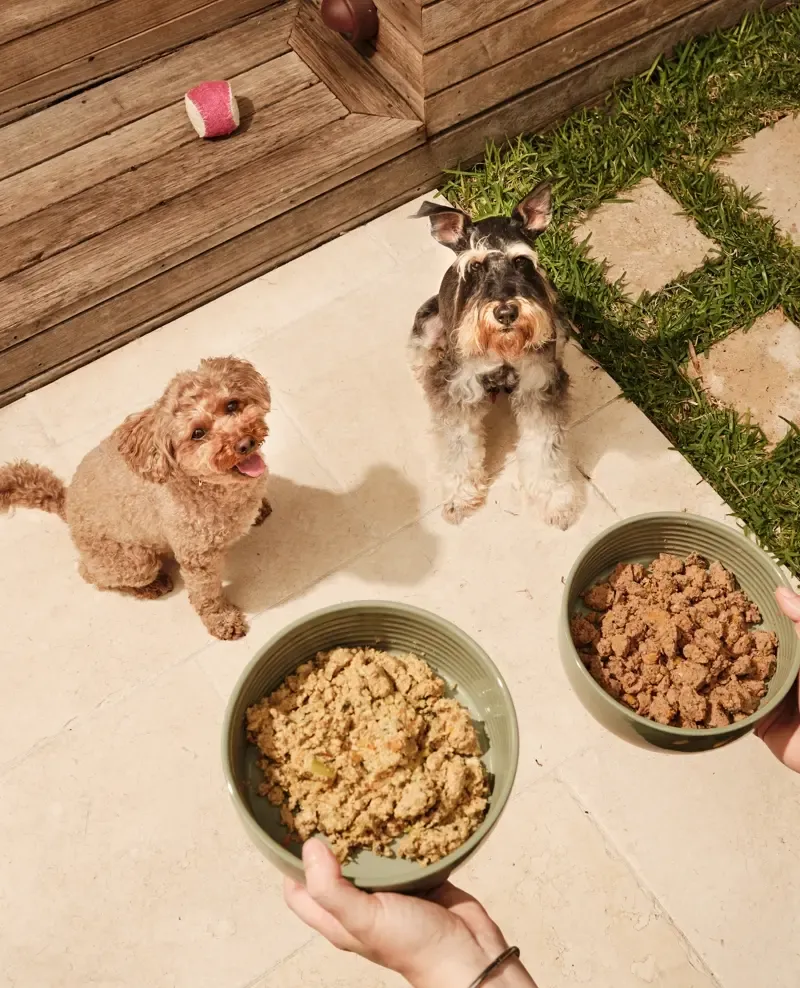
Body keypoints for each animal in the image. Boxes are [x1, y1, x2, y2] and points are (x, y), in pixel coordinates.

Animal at [0, 356, 272, 640]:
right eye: (198, 433)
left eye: (232, 405)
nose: (245, 443)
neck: (209, 486)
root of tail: (66, 504)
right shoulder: (197, 559)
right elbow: (206, 595)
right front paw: (223, 621)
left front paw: (260, 510)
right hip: (135, 561)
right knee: (92, 575)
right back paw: (152, 586)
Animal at [410, 181, 580, 528]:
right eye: (475, 266)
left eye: (522, 262)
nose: (505, 313)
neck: (503, 349)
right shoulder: (460, 390)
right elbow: (459, 447)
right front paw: (460, 498)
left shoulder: (538, 385)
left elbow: (545, 446)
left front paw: (555, 500)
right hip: (427, 320)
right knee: (422, 354)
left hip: (558, 319)